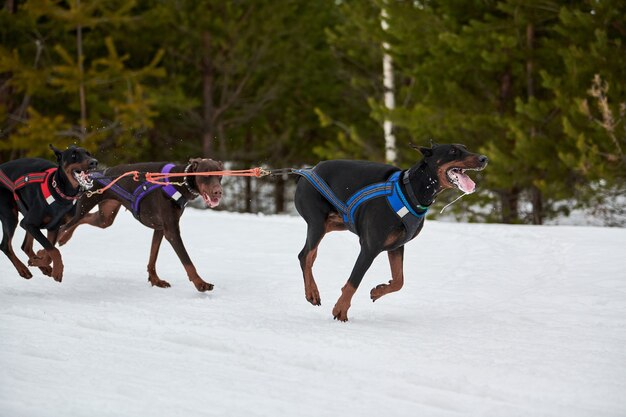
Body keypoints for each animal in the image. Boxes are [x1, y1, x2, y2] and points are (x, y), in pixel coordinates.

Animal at [0, 145, 97, 282]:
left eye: (88, 154)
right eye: (73, 155)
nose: (94, 162)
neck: (61, 192)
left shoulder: (53, 227)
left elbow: (49, 251)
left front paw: (39, 262)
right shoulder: (31, 224)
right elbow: (53, 250)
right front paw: (58, 271)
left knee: (25, 246)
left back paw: (41, 266)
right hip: (10, 214)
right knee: (5, 245)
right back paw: (23, 269)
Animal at [56, 158, 222, 290]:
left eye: (219, 176)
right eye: (206, 175)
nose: (219, 192)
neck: (179, 182)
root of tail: (94, 173)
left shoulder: (160, 228)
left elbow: (153, 257)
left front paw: (155, 280)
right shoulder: (171, 231)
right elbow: (187, 261)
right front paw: (200, 283)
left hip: (105, 217)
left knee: (84, 220)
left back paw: (64, 239)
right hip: (86, 206)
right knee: (66, 225)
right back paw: (57, 244)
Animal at [292, 141, 488, 320]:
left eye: (465, 147)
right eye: (453, 151)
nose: (484, 158)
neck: (410, 190)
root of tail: (307, 171)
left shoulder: (396, 246)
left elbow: (399, 280)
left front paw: (378, 291)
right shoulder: (370, 248)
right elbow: (354, 281)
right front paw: (340, 310)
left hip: (335, 223)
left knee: (309, 255)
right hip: (317, 223)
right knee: (306, 256)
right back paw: (312, 292)